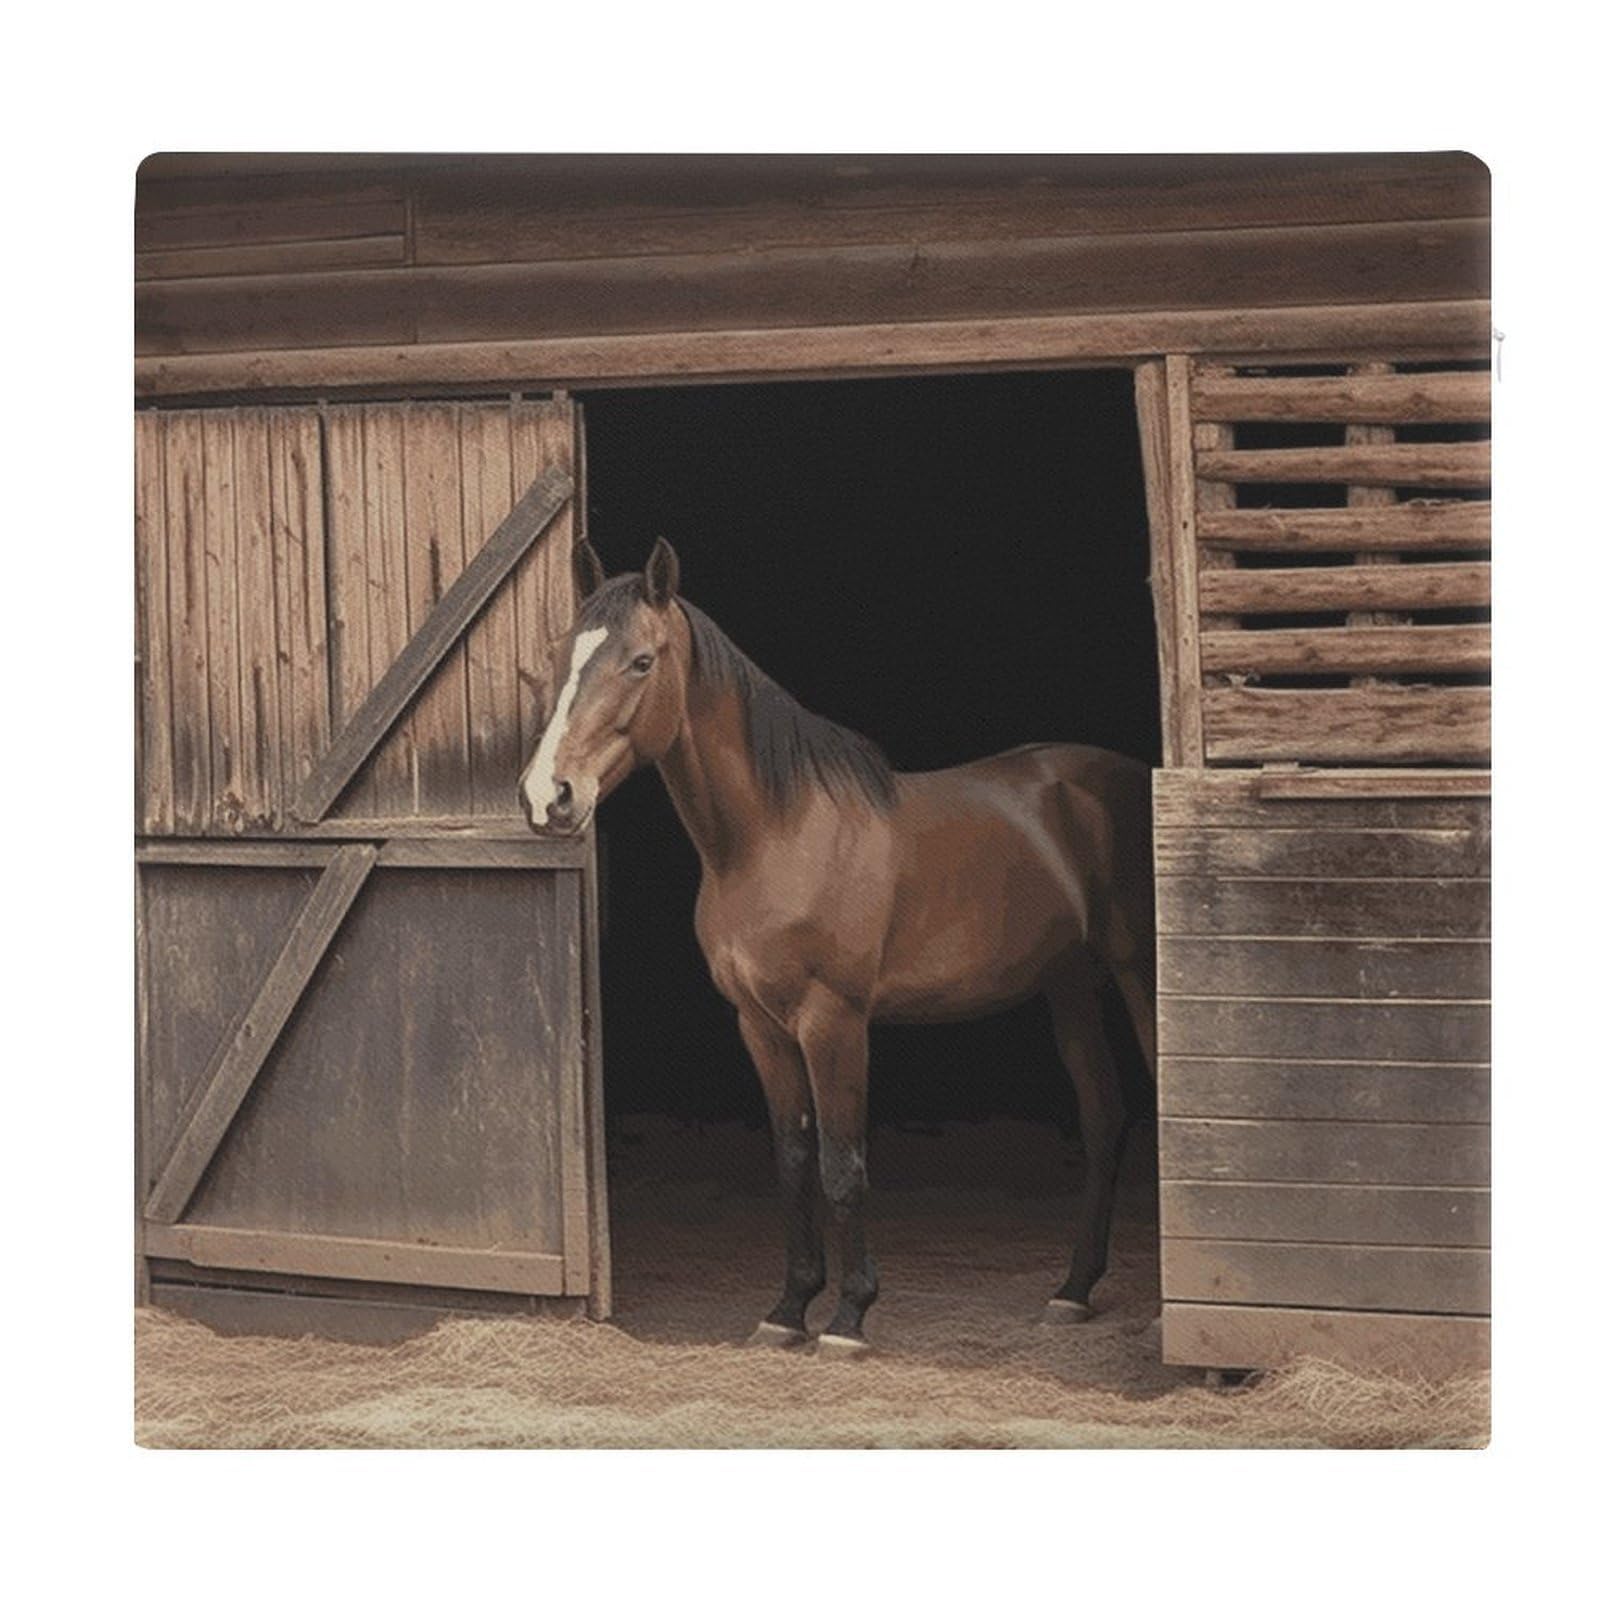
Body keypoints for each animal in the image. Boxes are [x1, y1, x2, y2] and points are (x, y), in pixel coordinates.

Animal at [520, 536, 1155, 1356]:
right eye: (563, 654)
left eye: (640, 661)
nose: (549, 797)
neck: (776, 835)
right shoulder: (759, 1026)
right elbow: (794, 1162)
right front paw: (788, 1310)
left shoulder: (835, 1021)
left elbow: (842, 1162)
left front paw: (850, 1318)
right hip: (1069, 985)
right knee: (1104, 1117)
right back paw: (1073, 1290)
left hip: (1139, 976)